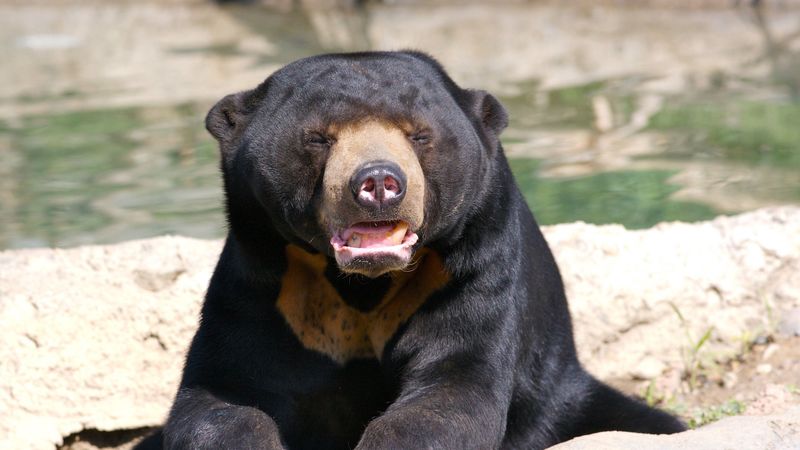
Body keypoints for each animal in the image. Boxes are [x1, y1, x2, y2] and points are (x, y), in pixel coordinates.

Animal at [136, 51, 685, 450]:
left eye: (419, 135)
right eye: (319, 139)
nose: (379, 182)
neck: (362, 283)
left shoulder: (469, 271)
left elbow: (453, 386)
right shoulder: (266, 283)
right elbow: (224, 392)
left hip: (561, 397)